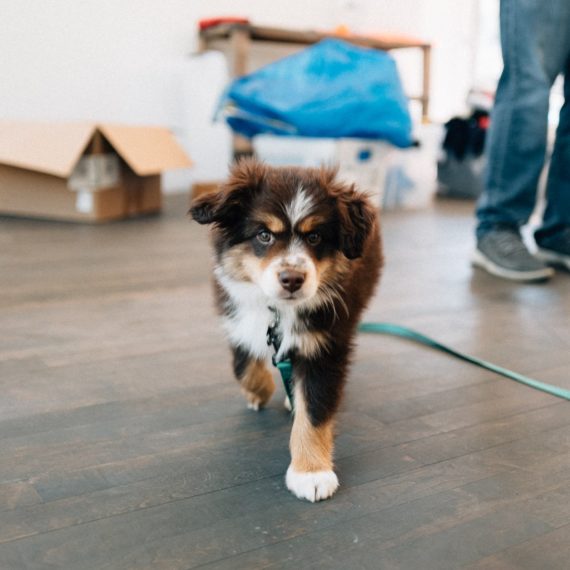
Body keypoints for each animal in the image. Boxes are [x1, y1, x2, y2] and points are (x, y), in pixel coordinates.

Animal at [191, 158, 382, 500]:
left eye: (316, 237)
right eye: (264, 235)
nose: (292, 279)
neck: (278, 310)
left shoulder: (326, 344)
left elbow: (315, 410)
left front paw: (312, 473)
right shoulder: (235, 315)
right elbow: (242, 364)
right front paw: (260, 390)